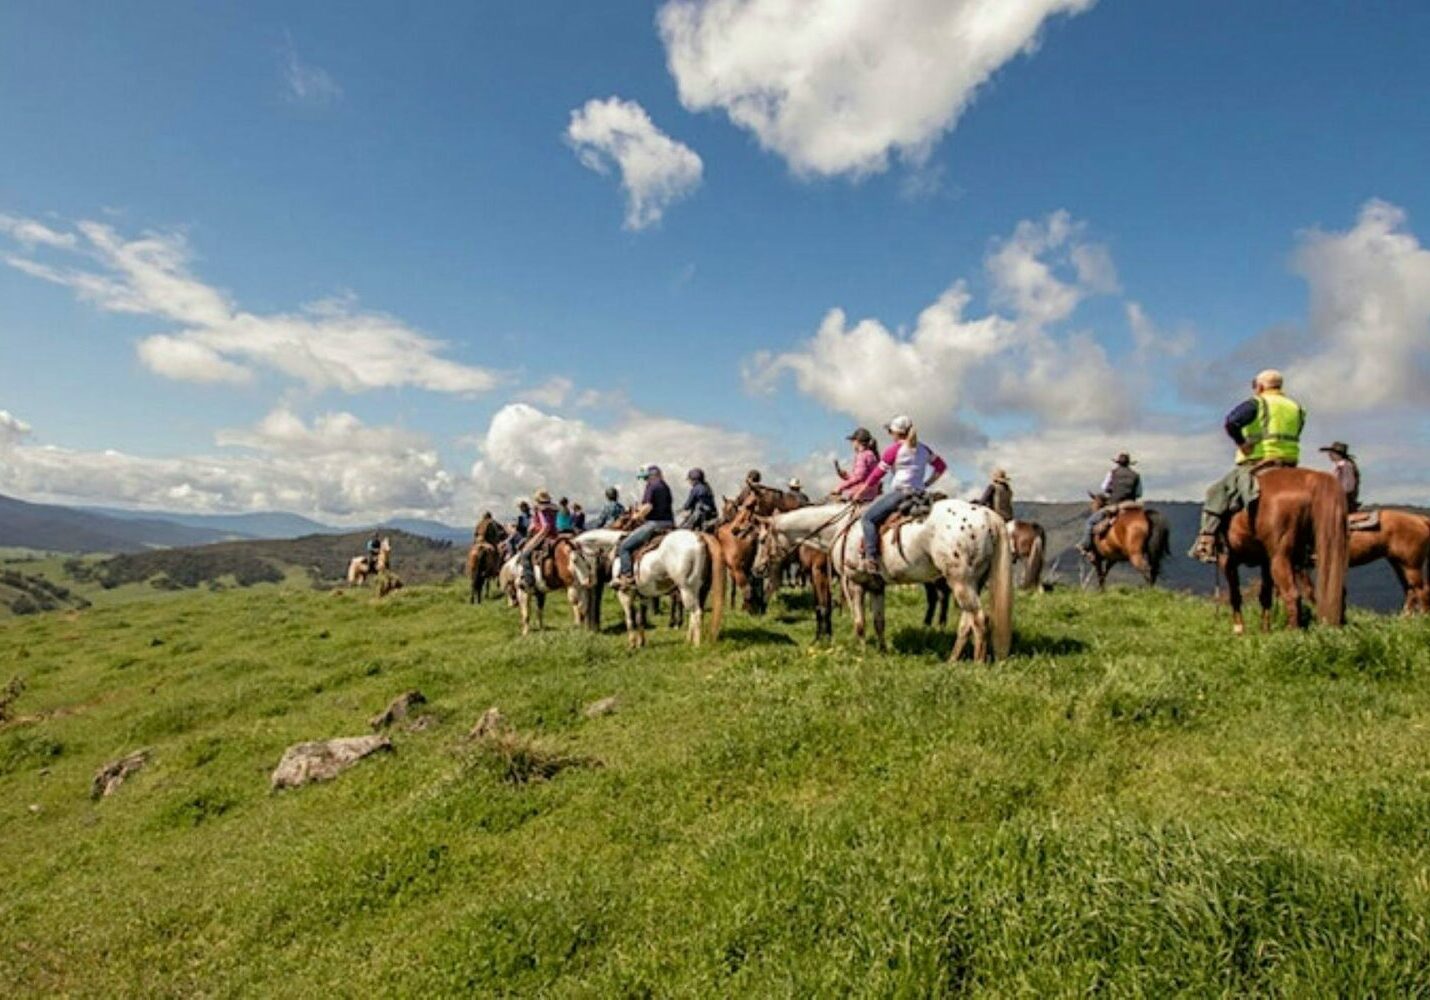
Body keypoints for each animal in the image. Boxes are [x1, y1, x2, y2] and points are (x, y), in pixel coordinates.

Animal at [755, 500, 1012, 663]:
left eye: (760, 539)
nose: (757, 569)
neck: (840, 528)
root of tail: (988, 515)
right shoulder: (876, 586)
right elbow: (879, 622)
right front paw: (882, 651)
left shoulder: (854, 583)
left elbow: (859, 622)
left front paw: (861, 653)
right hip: (973, 583)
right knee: (967, 623)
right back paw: (952, 660)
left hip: (960, 581)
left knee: (979, 620)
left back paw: (977, 664)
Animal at [1212, 466, 1344, 632]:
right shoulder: (1264, 562)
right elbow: (1265, 596)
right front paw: (1264, 629)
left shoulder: (1228, 560)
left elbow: (1235, 594)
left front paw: (1239, 628)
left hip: (1279, 557)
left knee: (1293, 594)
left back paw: (1291, 631)